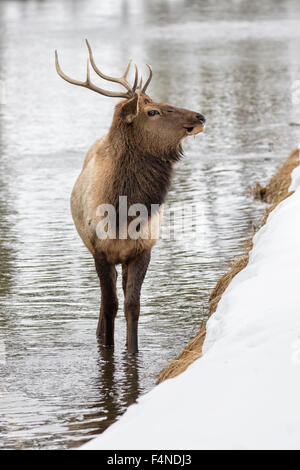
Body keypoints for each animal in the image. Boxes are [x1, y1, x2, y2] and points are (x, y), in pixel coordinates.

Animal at [55, 40, 205, 352]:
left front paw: (131, 350)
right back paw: (99, 333)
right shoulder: (100, 251)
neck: (122, 214)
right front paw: (108, 344)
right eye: (152, 112)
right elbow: (111, 305)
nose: (200, 117)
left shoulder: (142, 249)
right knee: (104, 301)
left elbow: (132, 305)